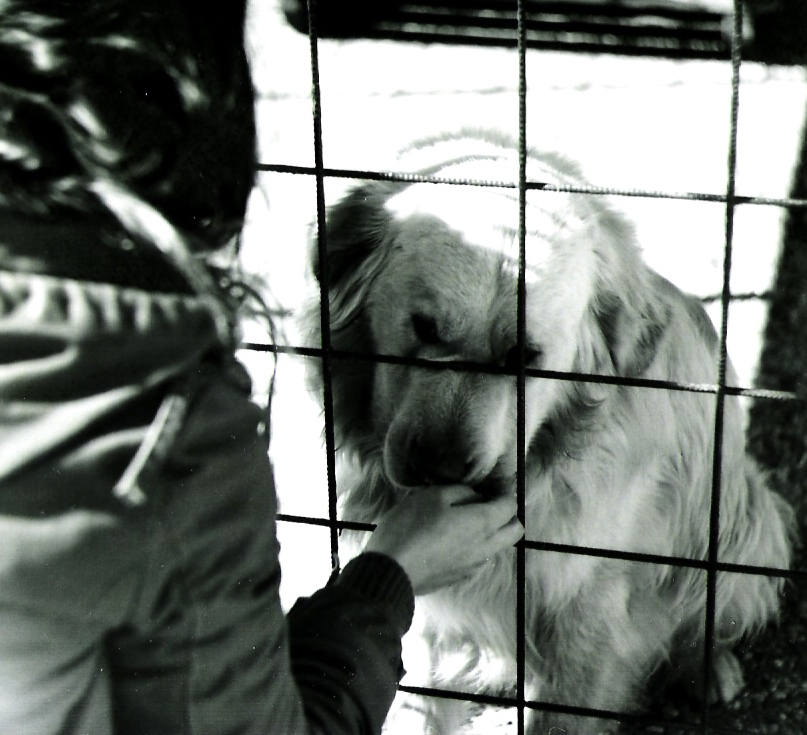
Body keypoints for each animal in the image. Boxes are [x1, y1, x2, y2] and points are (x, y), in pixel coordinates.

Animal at [304, 129, 796, 732]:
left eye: (524, 357)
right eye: (423, 327)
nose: (438, 469)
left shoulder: (588, 609)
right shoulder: (428, 615)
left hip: (743, 521)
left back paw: (707, 668)